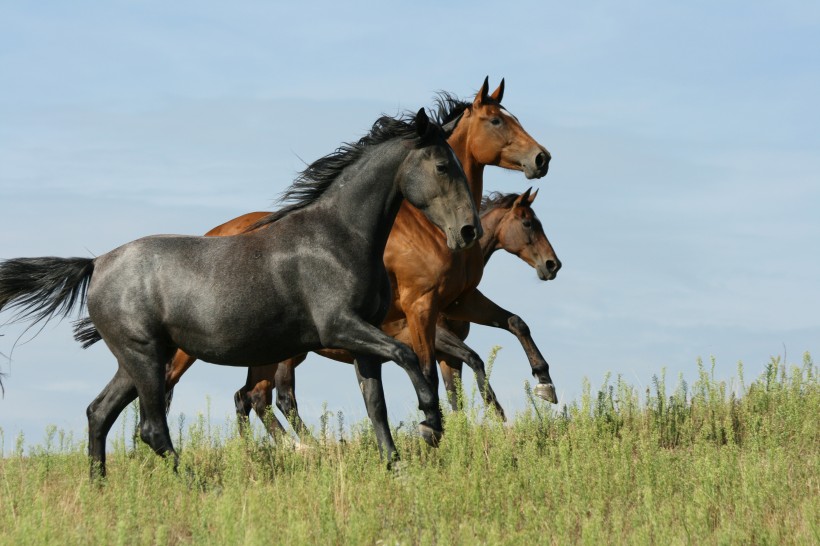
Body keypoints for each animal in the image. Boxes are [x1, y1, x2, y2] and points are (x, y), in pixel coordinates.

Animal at [165, 76, 556, 432]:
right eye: (497, 121)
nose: (542, 158)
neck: (428, 229)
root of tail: (211, 234)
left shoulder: (458, 301)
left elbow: (512, 325)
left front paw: (541, 385)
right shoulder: (421, 309)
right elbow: (438, 370)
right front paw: (442, 426)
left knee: (250, 396)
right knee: (233, 391)